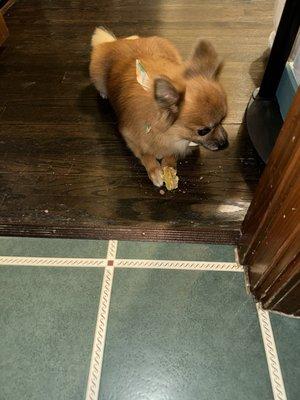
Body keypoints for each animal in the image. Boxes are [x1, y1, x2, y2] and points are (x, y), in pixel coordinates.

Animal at [89, 28, 227, 188]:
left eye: (222, 120)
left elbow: (171, 153)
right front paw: (155, 170)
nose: (225, 143)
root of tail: (117, 41)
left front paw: (168, 165)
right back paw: (104, 93)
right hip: (97, 75)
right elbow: (145, 153)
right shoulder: (130, 137)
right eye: (203, 131)